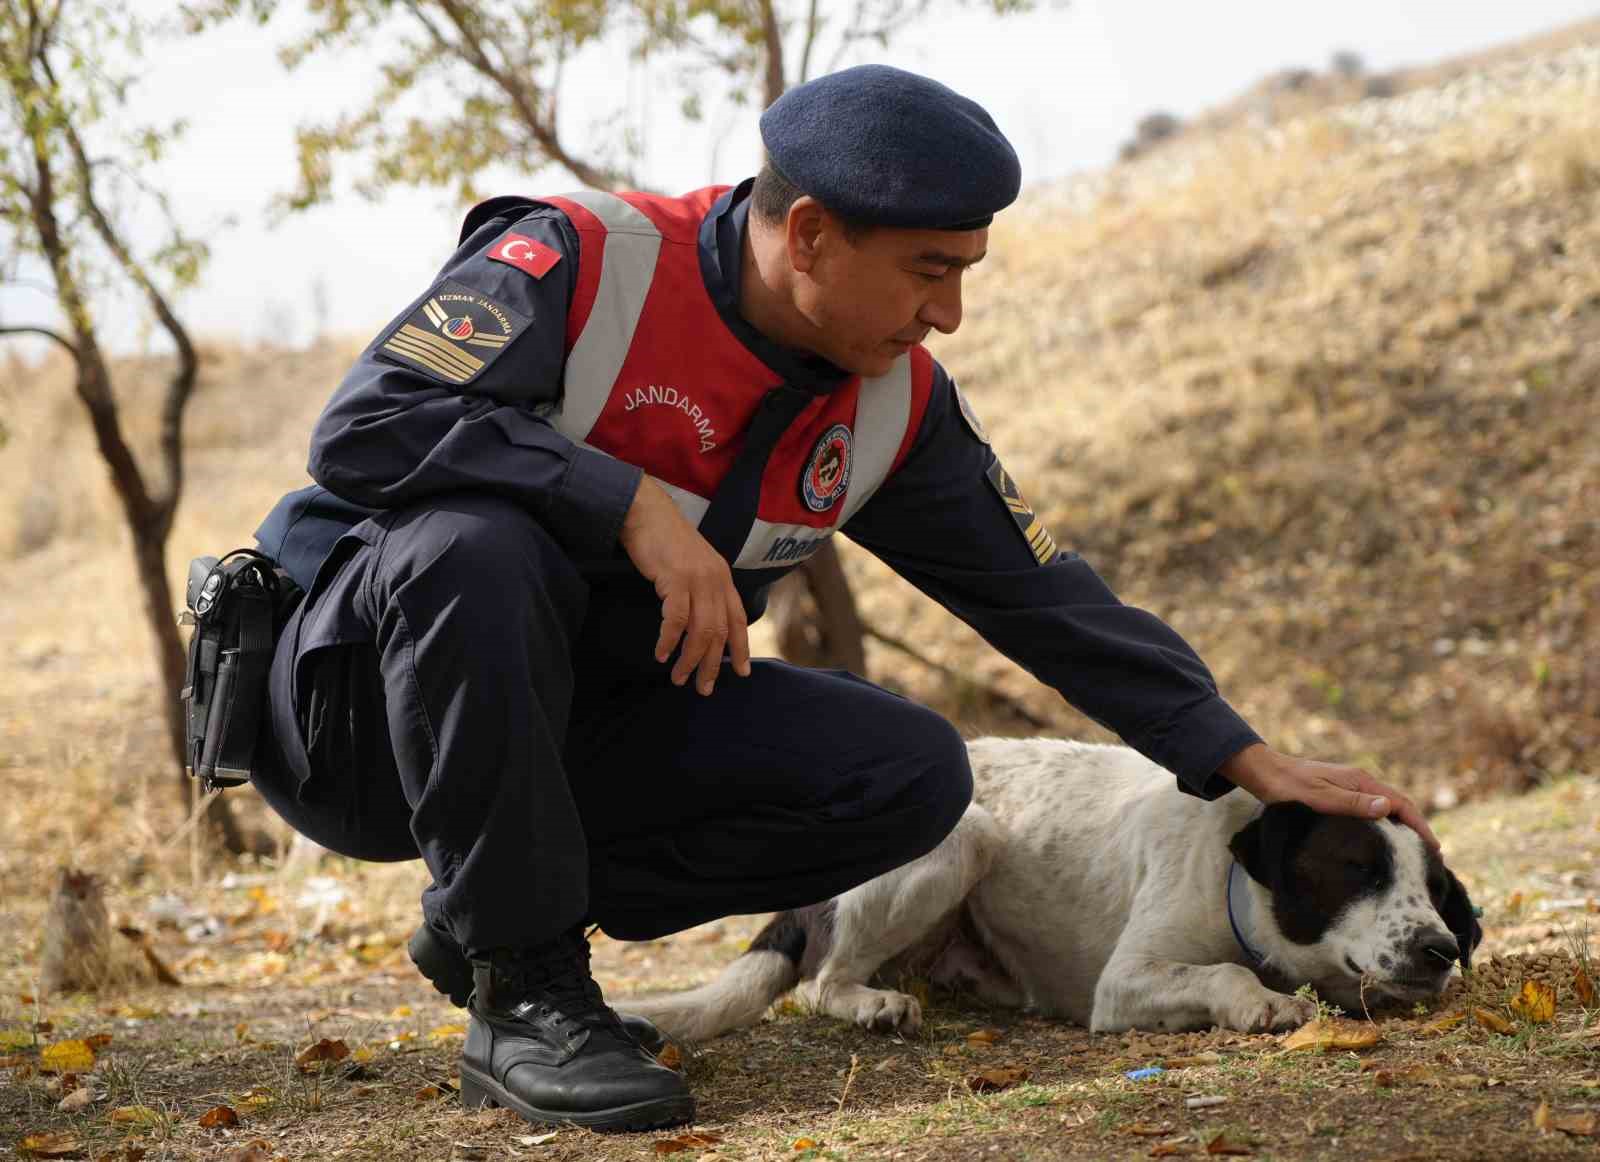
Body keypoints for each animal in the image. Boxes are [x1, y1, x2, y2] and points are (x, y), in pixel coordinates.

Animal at [620, 736, 1472, 1037]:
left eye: (1435, 889)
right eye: (1358, 869)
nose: (1441, 949)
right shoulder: (1126, 983)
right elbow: (1224, 975)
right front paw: (1262, 1002)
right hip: (963, 836)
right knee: (819, 982)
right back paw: (871, 1004)